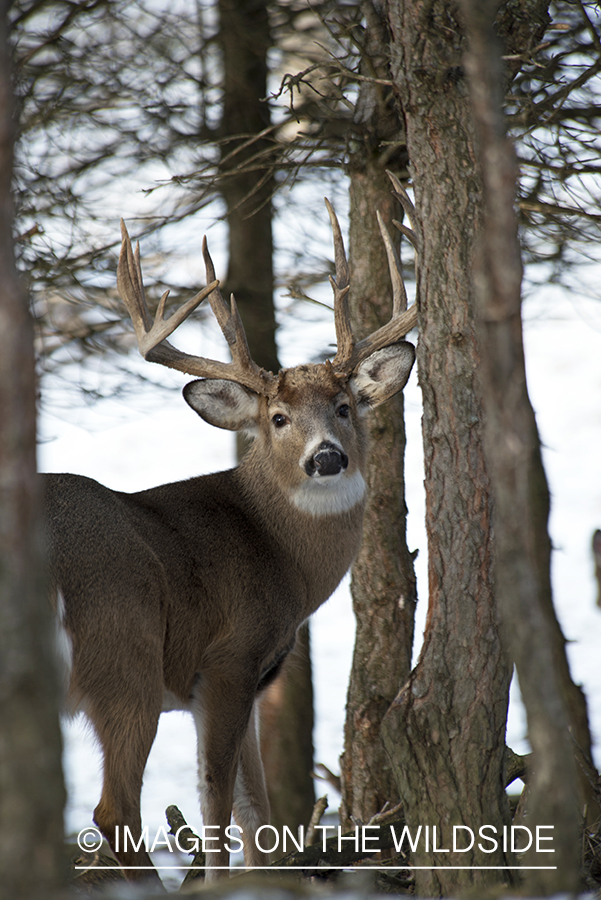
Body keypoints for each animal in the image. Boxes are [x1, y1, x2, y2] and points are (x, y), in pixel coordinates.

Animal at [43, 172, 418, 884]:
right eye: (277, 418)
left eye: (344, 405)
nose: (326, 457)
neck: (282, 557)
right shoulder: (229, 659)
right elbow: (218, 801)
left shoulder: (245, 681)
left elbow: (256, 810)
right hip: (125, 654)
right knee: (114, 811)